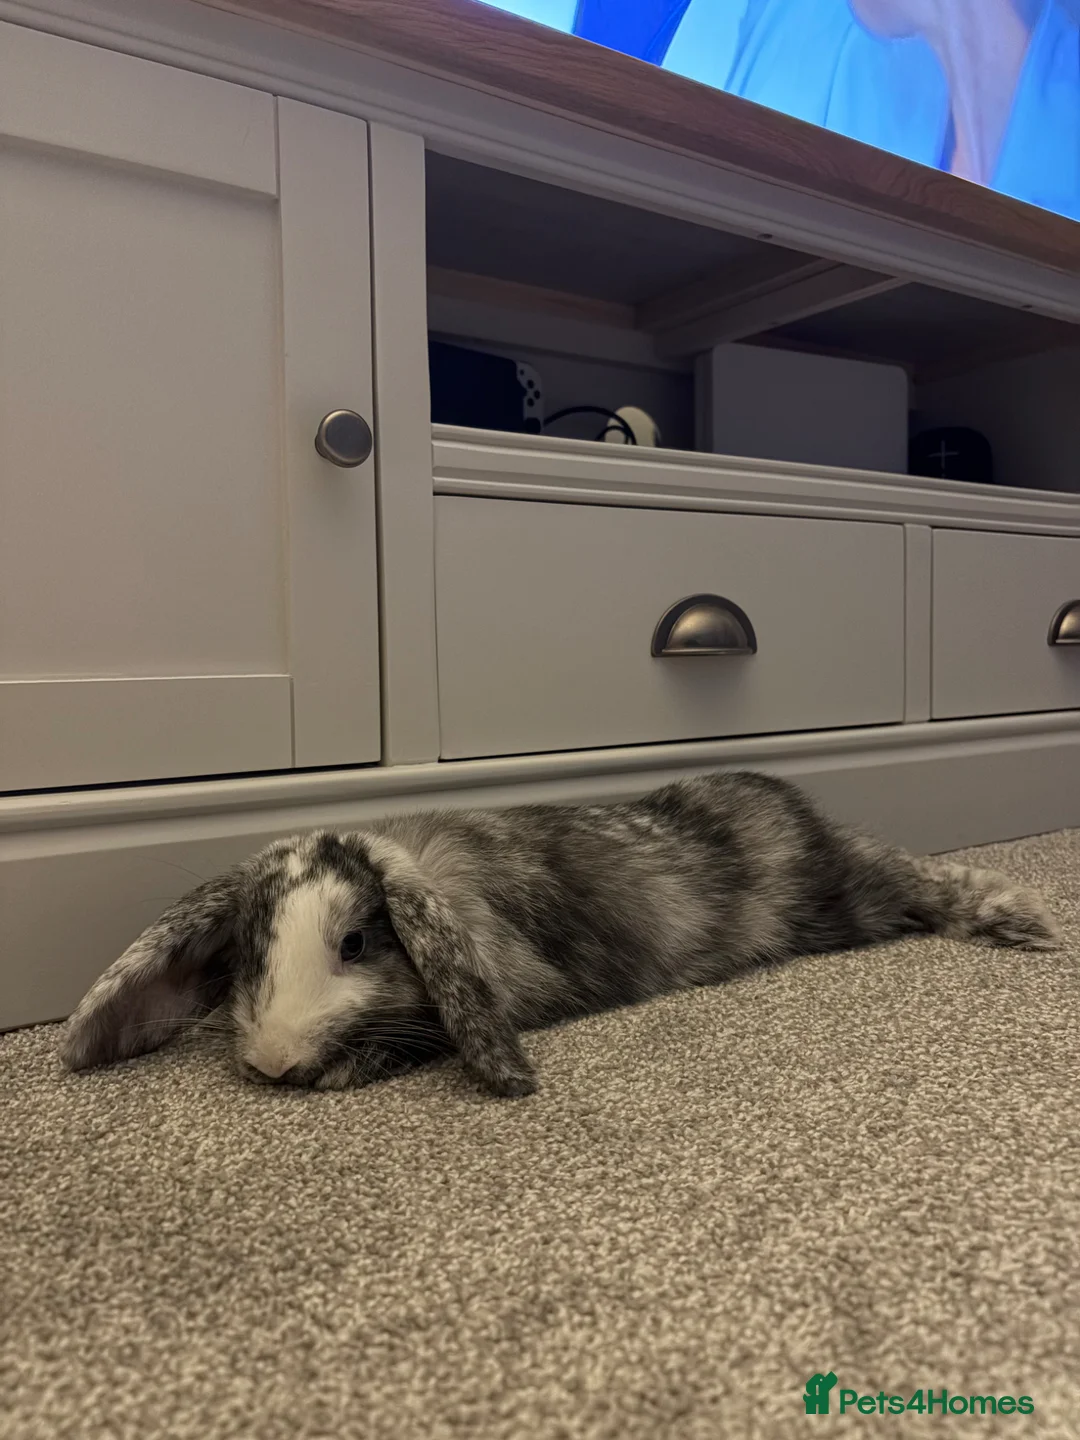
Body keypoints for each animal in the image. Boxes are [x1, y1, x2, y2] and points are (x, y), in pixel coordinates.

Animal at [60, 771, 1061, 1098]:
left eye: (355, 945)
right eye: (247, 957)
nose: (269, 1062)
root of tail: (783, 798)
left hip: (837, 900)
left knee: (920, 879)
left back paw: (1026, 917)